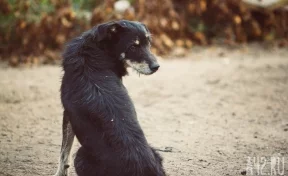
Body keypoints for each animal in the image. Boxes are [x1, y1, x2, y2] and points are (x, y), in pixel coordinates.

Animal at [54, 20, 165, 175]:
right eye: (132, 46)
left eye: (148, 42)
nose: (156, 66)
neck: (95, 50)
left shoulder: (68, 113)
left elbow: (63, 154)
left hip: (80, 156)